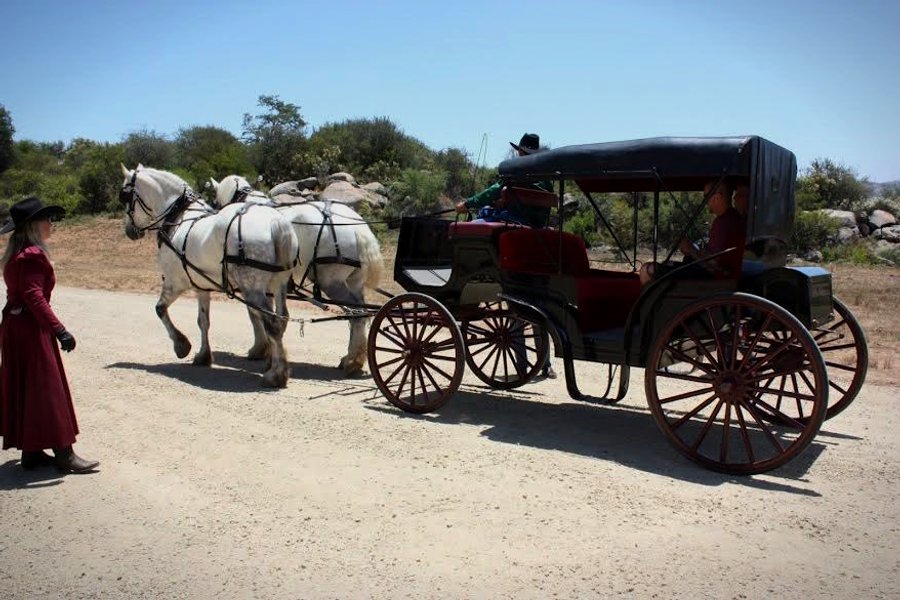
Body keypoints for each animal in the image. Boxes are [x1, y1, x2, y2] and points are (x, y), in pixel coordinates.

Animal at [119, 165, 300, 388]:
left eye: (125, 196)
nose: (130, 231)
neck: (180, 217)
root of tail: (275, 223)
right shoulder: (201, 286)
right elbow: (203, 321)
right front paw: (203, 355)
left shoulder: (174, 282)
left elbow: (160, 309)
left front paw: (181, 345)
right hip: (278, 285)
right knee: (281, 320)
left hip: (253, 288)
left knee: (272, 323)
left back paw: (276, 374)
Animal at [210, 175, 384, 375]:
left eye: (216, 202)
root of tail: (358, 228)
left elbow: (255, 314)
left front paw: (259, 349)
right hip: (354, 281)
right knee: (358, 314)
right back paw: (351, 357)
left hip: (332, 282)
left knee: (358, 314)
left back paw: (353, 362)